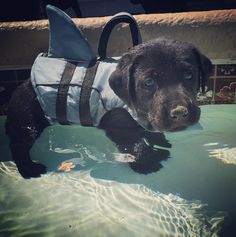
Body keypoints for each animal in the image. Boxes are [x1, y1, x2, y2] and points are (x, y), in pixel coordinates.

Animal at [5, 38, 212, 178]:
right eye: (149, 83)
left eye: (189, 75)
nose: (180, 113)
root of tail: (22, 85)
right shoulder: (118, 124)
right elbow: (134, 144)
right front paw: (147, 162)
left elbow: (147, 131)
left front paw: (159, 140)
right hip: (27, 123)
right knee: (18, 145)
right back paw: (29, 169)